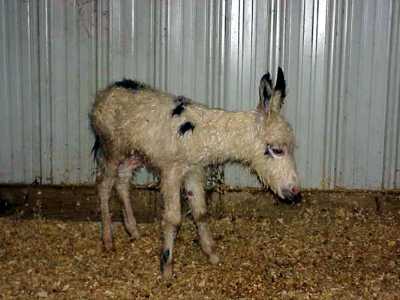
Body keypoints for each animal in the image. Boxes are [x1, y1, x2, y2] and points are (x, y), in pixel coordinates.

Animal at [90, 67, 300, 278]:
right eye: (277, 150)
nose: (295, 192)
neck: (201, 134)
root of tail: (106, 91)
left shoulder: (193, 171)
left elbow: (201, 213)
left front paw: (211, 254)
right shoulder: (171, 171)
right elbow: (173, 219)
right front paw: (167, 268)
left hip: (135, 153)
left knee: (122, 180)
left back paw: (133, 230)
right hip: (112, 148)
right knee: (104, 185)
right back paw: (108, 239)